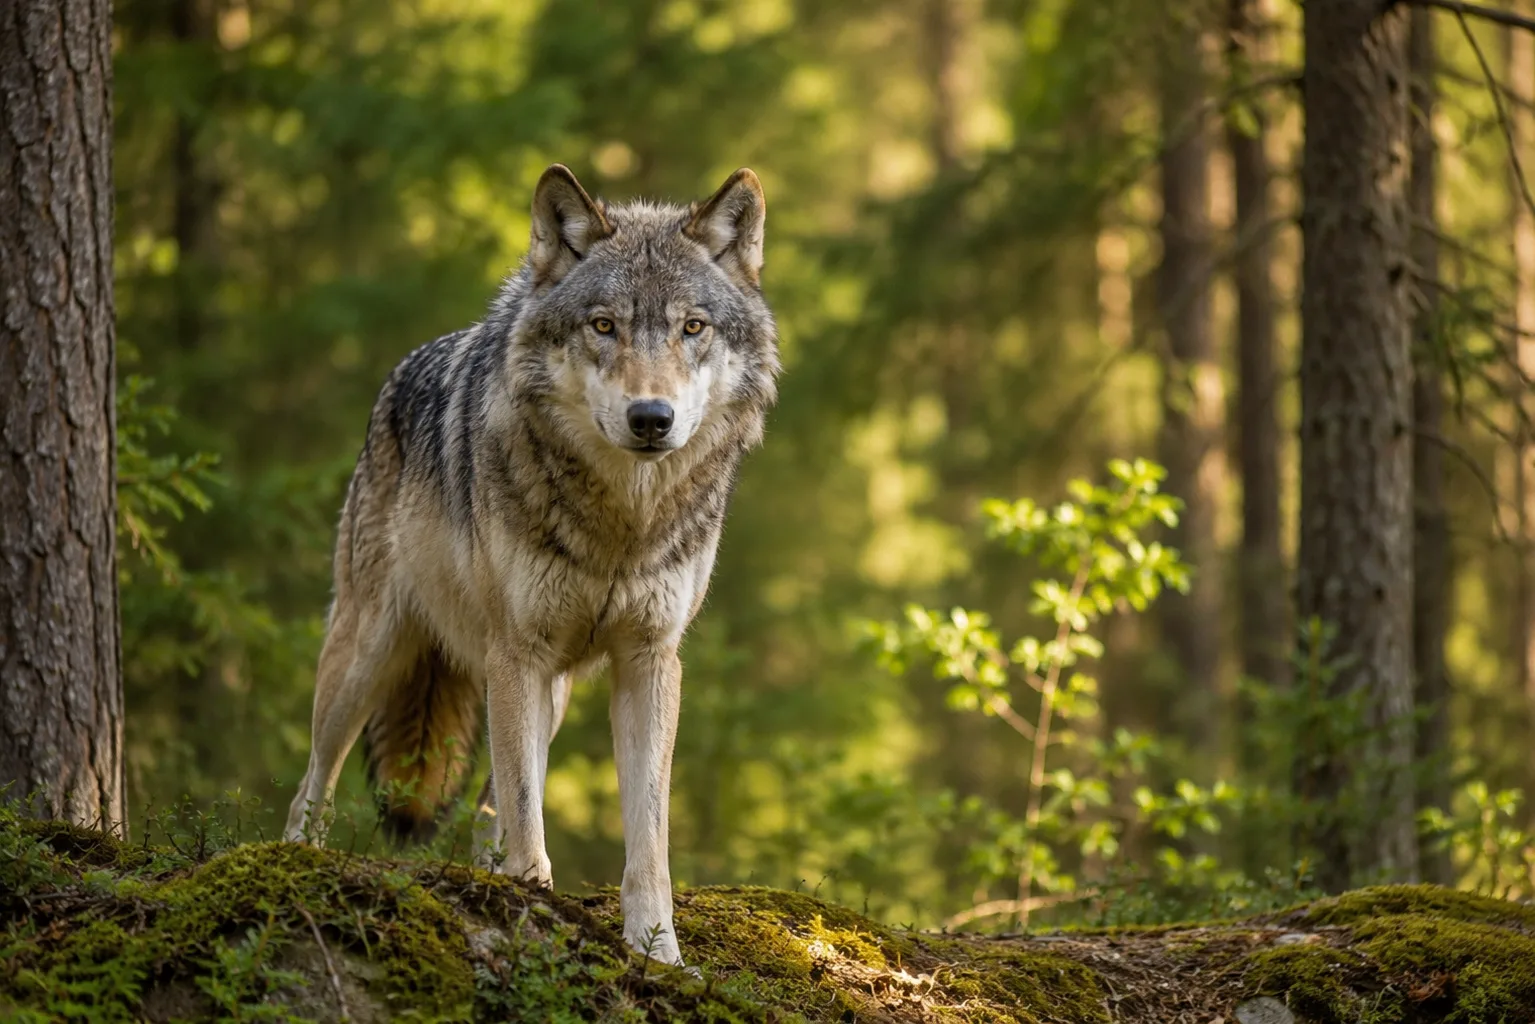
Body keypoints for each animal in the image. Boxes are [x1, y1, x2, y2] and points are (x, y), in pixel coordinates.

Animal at [282, 165, 780, 967]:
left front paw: (658, 952)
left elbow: (645, 835)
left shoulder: (649, 660)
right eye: (603, 326)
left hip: (551, 693)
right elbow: (524, 807)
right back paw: (297, 859)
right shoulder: (517, 651)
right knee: (314, 783)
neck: (621, 522)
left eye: (692, 328)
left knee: (493, 806)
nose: (651, 418)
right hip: (370, 656)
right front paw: (532, 910)